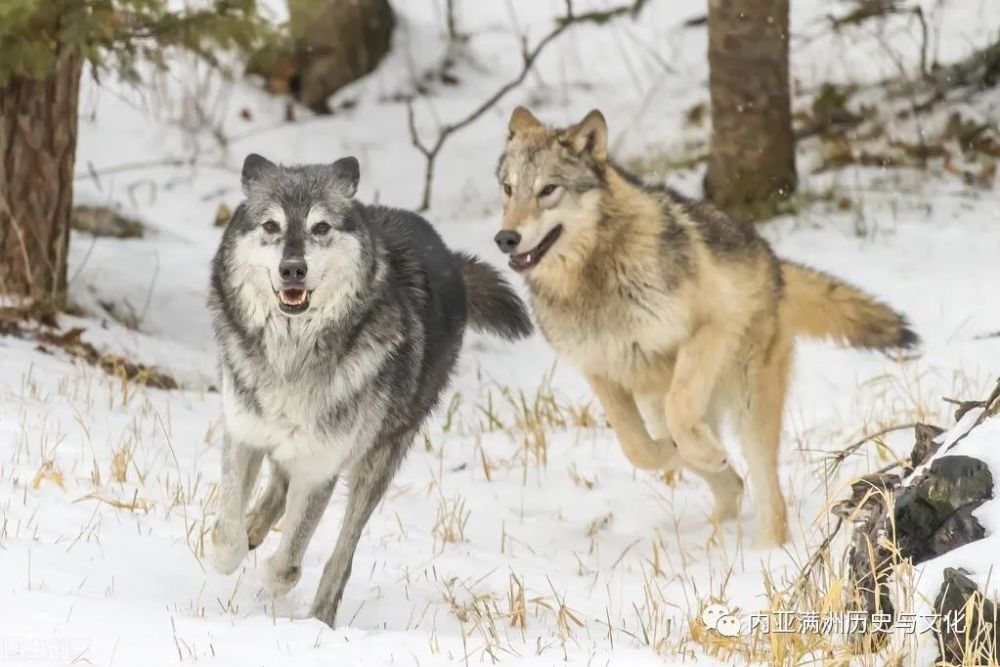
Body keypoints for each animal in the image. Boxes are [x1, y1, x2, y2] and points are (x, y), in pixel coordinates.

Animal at [208, 151, 536, 628]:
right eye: (271, 225)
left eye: (320, 227)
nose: (293, 269)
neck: (292, 357)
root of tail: (450, 256)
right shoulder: (244, 435)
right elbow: (225, 542)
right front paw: (238, 543)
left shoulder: (321, 466)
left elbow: (286, 567)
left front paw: (276, 589)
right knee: (276, 491)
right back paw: (255, 528)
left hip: (374, 466)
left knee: (340, 558)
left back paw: (321, 618)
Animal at [490, 108, 916, 548]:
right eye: (509, 189)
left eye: (548, 190)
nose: (506, 238)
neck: (595, 279)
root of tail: (774, 261)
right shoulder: (600, 369)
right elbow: (636, 448)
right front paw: (676, 451)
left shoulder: (712, 325)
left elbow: (679, 412)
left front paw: (700, 451)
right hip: (661, 402)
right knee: (732, 483)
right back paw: (714, 530)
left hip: (748, 403)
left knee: (769, 496)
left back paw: (764, 550)